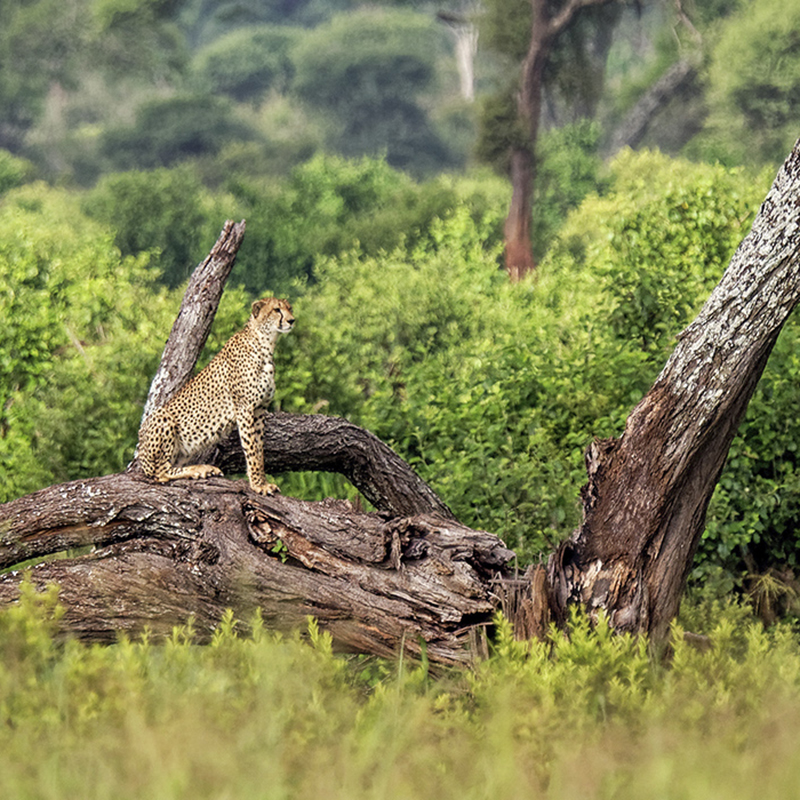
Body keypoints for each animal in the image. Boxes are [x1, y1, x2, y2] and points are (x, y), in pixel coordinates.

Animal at [136, 294, 296, 494]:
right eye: (277, 310)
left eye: (289, 308)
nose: (292, 320)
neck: (265, 342)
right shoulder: (245, 408)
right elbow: (251, 448)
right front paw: (258, 485)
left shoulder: (259, 410)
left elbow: (259, 450)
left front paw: (262, 481)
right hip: (163, 418)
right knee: (160, 472)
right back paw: (198, 470)